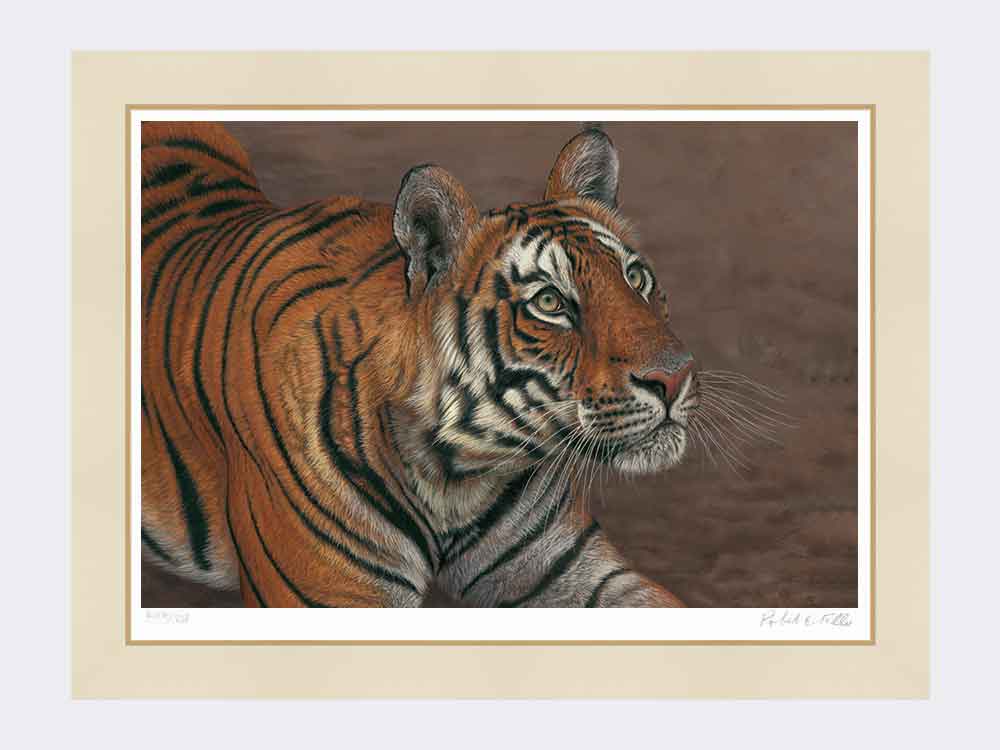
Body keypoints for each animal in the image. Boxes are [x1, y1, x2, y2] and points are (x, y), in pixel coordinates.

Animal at [140, 122, 699, 608]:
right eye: (549, 302)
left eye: (635, 278)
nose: (674, 377)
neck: (460, 477)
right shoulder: (331, 594)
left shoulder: (563, 563)